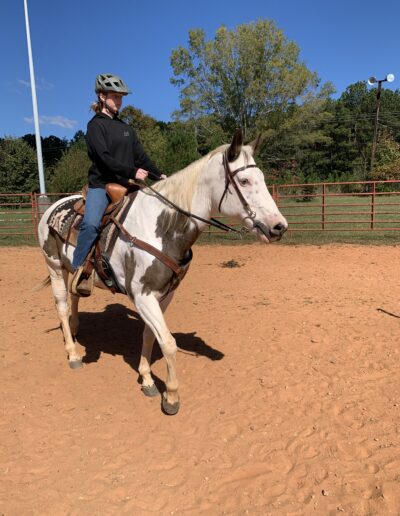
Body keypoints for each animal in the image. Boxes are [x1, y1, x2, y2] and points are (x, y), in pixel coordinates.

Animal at [37, 130, 288, 416]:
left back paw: (77, 329)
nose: (279, 226)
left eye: (262, 179)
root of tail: (52, 207)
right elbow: (168, 343)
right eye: (244, 181)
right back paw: (73, 353)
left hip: (72, 270)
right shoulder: (143, 296)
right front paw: (171, 396)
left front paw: (147, 379)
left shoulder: (164, 295)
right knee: (61, 305)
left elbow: (150, 335)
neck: (163, 227)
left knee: (75, 296)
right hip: (54, 267)